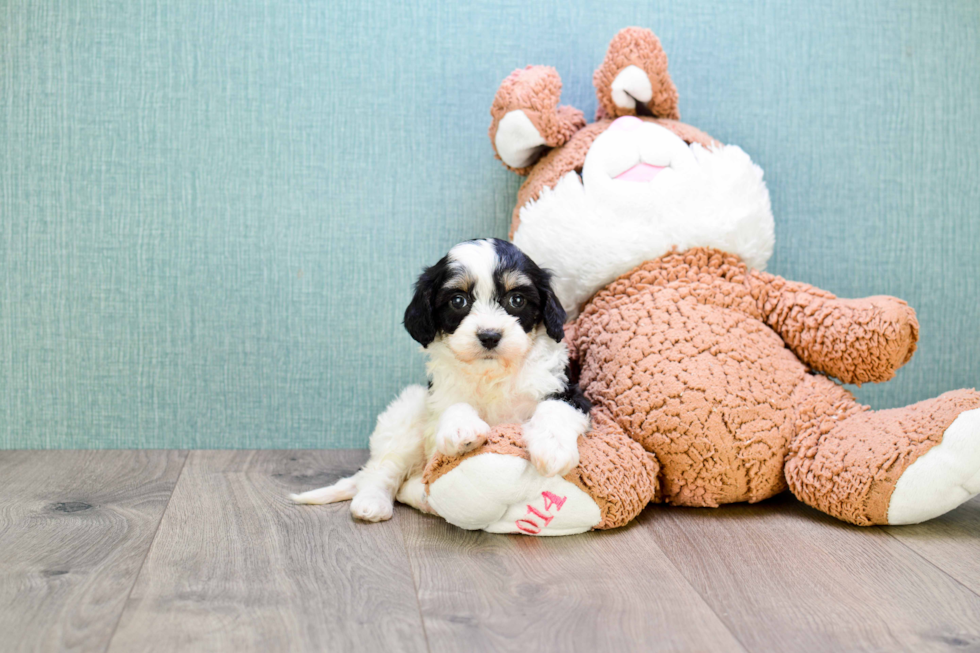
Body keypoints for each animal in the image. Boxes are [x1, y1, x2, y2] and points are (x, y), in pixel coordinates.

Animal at [290, 238, 588, 520]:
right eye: (458, 301)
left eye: (516, 300)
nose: (489, 336)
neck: (492, 373)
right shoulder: (441, 394)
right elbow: (454, 405)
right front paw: (462, 429)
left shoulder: (567, 389)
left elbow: (555, 408)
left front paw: (552, 447)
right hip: (405, 417)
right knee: (383, 470)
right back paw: (372, 502)